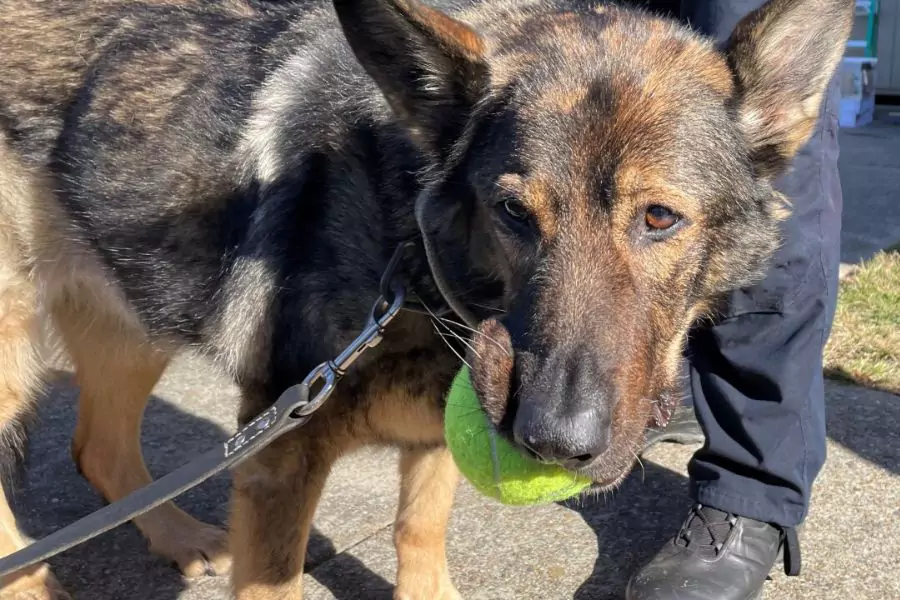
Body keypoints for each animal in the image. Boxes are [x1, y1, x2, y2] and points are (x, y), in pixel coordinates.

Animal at [0, 0, 856, 596]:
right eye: (513, 212)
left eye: (659, 219)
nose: (555, 442)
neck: (409, 261)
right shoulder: (281, 461)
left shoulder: (437, 440)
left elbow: (418, 534)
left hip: (132, 306)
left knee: (99, 448)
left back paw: (178, 538)